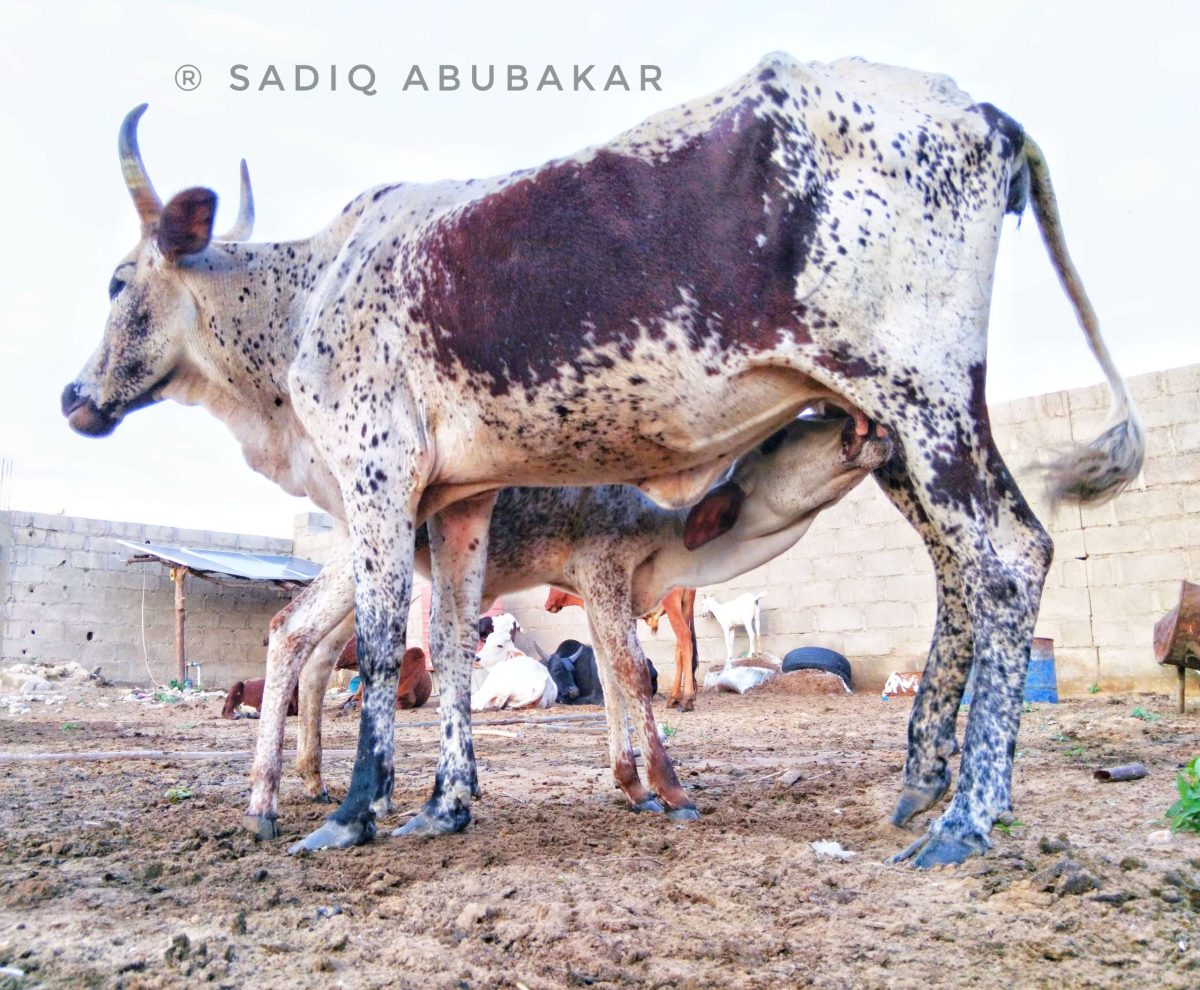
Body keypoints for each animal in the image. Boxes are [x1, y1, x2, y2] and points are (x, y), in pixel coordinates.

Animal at [64, 54, 1142, 867]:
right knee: (961, 572)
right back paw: (924, 786)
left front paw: (354, 813)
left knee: (1009, 559)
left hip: (927, 394)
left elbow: (381, 645)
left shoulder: (379, 480)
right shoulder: (457, 502)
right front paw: (446, 805)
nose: (76, 397)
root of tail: (984, 114)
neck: (307, 295)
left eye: (118, 282)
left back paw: (969, 817)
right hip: (895, 425)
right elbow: (448, 645)